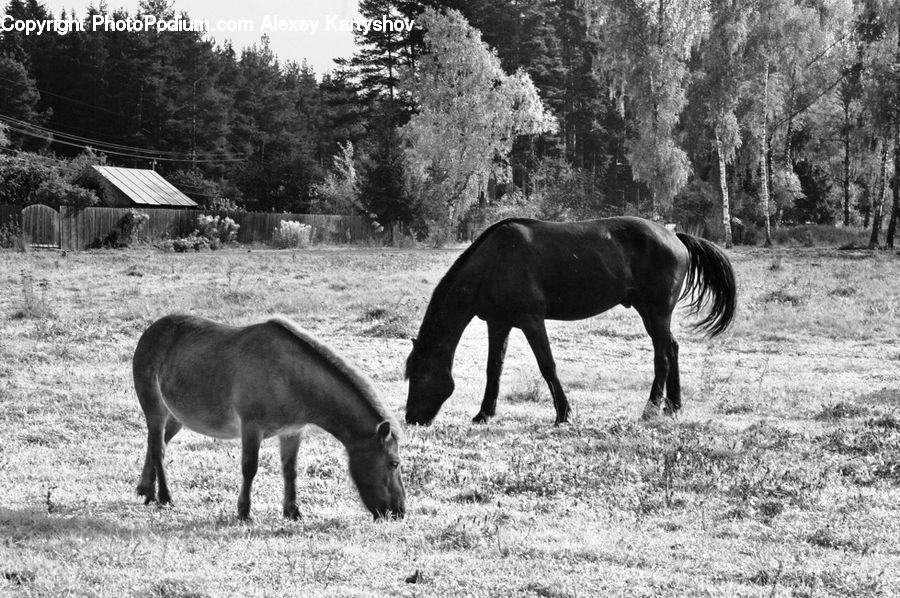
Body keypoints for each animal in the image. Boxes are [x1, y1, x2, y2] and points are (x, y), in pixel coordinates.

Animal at [132, 316, 406, 524]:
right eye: (394, 463)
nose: (399, 512)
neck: (290, 377)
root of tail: (151, 331)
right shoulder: (252, 429)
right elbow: (249, 468)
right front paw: (244, 512)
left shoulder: (292, 432)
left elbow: (290, 471)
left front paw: (292, 511)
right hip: (155, 410)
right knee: (158, 450)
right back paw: (164, 497)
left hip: (176, 417)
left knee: (156, 444)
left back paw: (146, 490)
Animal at [404, 217, 736, 426]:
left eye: (419, 375)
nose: (411, 418)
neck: (494, 263)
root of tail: (674, 237)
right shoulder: (498, 323)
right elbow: (493, 369)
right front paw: (484, 414)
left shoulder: (531, 320)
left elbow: (547, 366)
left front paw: (563, 414)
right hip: (655, 314)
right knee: (673, 348)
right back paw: (673, 408)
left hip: (655, 312)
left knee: (663, 356)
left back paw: (650, 409)